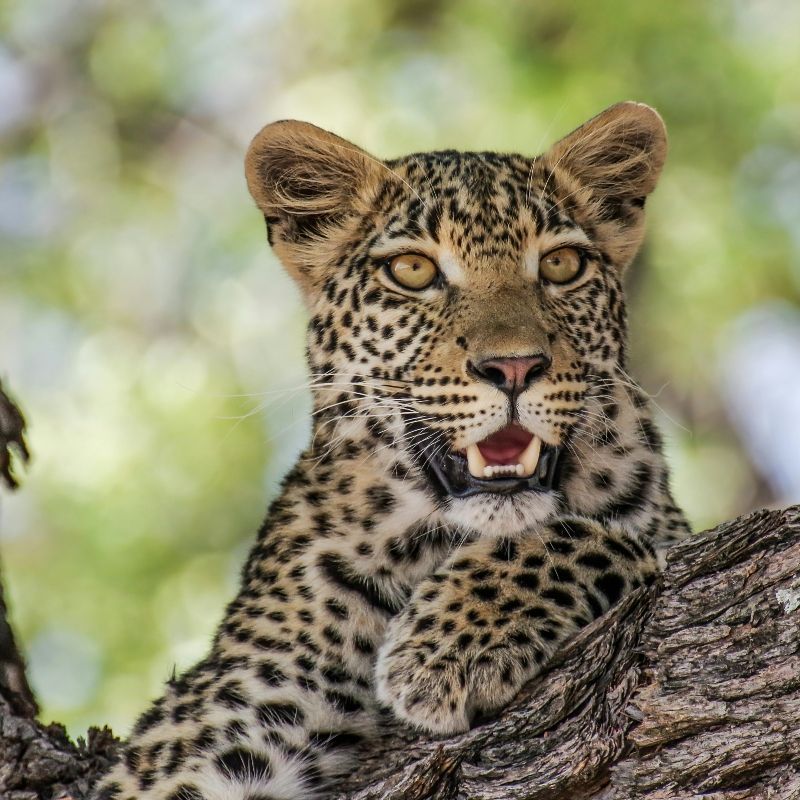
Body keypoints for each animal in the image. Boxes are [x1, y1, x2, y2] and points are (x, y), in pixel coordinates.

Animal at [92, 101, 690, 800]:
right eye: (413, 271)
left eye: (562, 265)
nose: (515, 367)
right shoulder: (230, 708)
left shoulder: (661, 528)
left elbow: (614, 538)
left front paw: (448, 646)